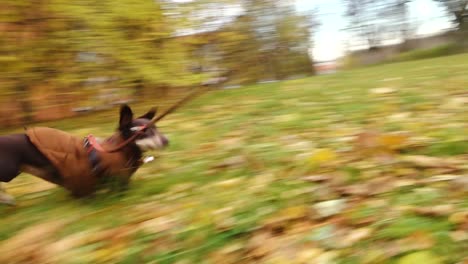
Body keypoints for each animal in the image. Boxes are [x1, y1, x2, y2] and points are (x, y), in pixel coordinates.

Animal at [0, 104, 168, 204]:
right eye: (143, 131)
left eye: (156, 128)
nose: (167, 141)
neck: (118, 148)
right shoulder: (117, 180)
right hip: (9, 169)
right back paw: (6, 197)